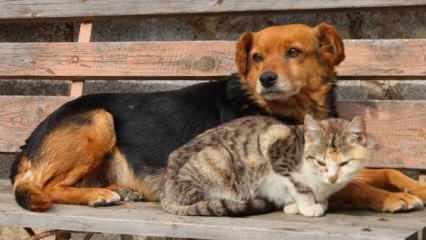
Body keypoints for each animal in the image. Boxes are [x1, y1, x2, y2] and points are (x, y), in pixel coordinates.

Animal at [161, 114, 372, 218]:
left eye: (344, 163)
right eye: (320, 162)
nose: (333, 178)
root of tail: (165, 191)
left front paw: (307, 204)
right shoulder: (275, 148)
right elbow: (299, 187)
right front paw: (308, 206)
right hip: (217, 159)